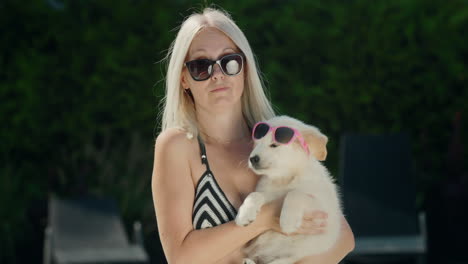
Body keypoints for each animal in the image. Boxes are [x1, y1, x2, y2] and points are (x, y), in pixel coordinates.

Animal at [236, 115, 342, 264]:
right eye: (257, 144)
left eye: (274, 145)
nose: (252, 159)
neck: (285, 178)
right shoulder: (268, 193)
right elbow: (255, 195)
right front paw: (244, 214)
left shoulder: (323, 209)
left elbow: (295, 193)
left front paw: (288, 221)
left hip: (295, 254)